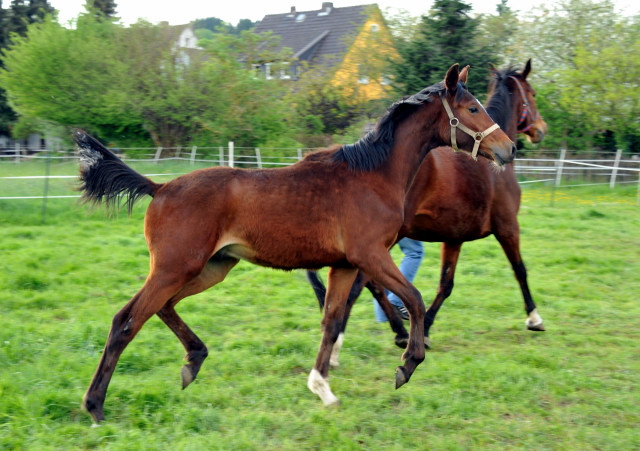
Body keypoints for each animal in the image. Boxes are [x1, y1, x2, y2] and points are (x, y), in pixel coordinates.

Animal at [76, 64, 516, 424]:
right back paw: (95, 406)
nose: (509, 149)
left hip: (212, 267)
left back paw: (193, 361)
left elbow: (332, 320)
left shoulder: (346, 264)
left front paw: (322, 387)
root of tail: (160, 187)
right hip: (175, 268)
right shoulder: (371, 255)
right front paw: (407, 363)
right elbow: (415, 299)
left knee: (162, 308)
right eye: (472, 109)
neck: (372, 176)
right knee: (126, 320)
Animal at [308, 60, 548, 366]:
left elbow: (446, 283)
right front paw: (534, 318)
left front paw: (426, 330)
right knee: (362, 285)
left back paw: (396, 331)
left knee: (369, 284)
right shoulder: (507, 226)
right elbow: (520, 270)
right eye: (532, 94)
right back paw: (346, 343)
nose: (539, 130)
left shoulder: (454, 238)